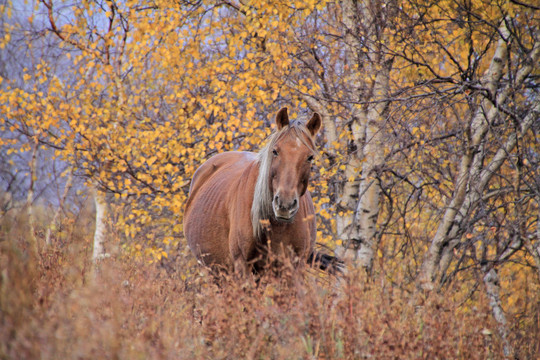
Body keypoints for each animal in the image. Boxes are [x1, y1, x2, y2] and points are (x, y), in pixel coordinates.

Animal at [184, 107, 340, 276]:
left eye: (310, 157)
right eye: (275, 151)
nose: (284, 205)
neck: (277, 226)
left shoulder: (295, 269)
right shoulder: (242, 266)